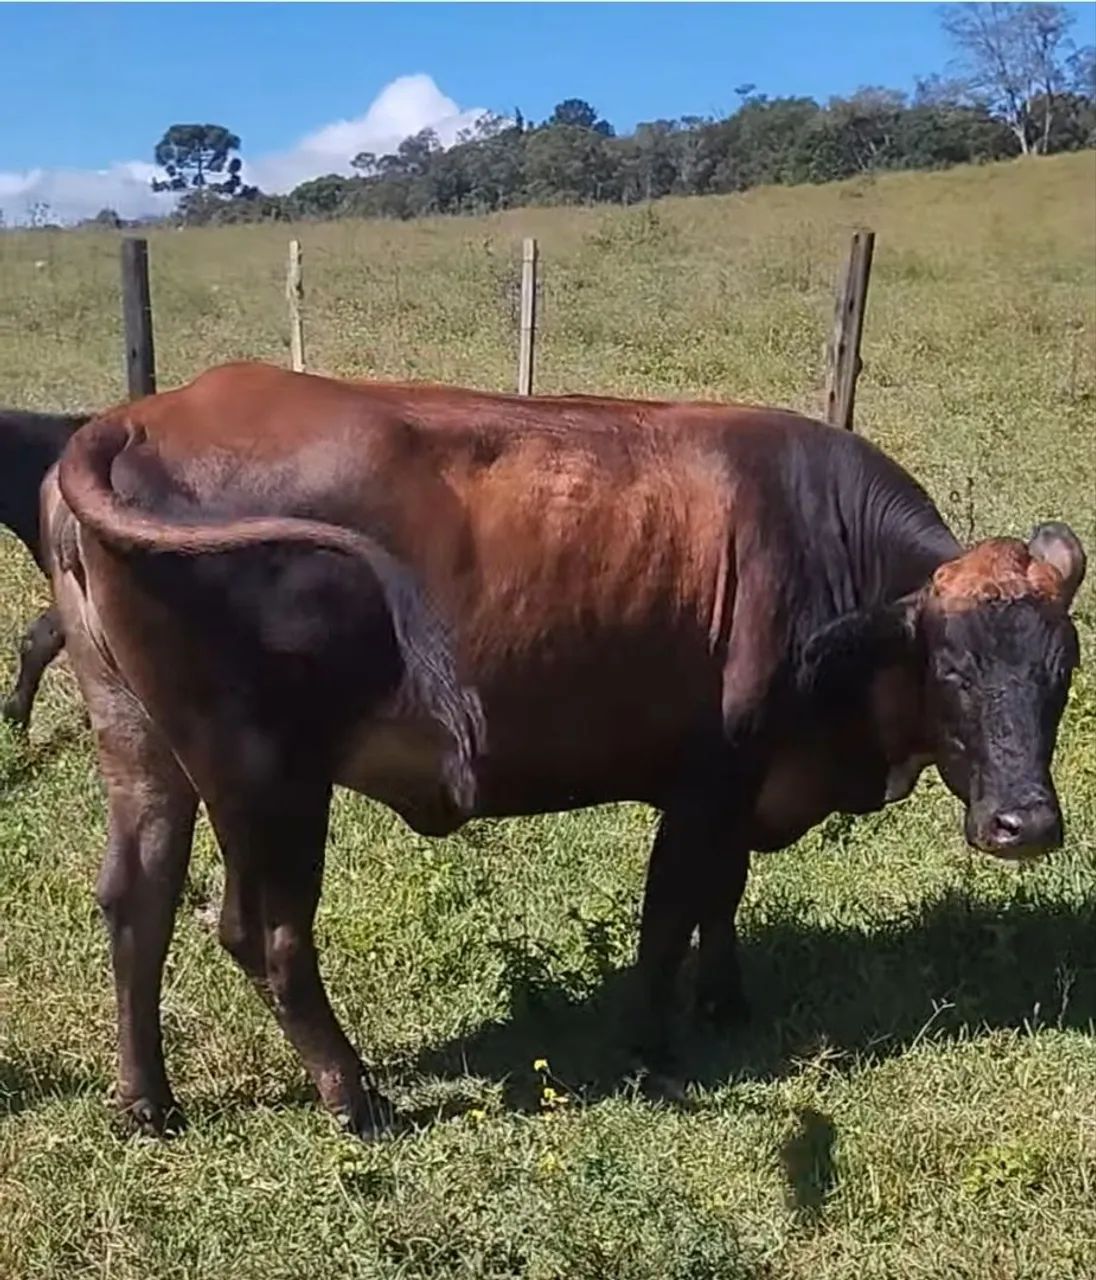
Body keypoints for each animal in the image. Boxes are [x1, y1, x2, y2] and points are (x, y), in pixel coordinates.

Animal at [44, 361, 1085, 1137]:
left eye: (1061, 672)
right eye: (950, 668)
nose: (1025, 823)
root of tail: (138, 420)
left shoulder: (740, 784)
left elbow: (721, 896)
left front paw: (726, 1001)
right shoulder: (708, 777)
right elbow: (671, 910)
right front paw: (650, 1042)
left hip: (144, 750)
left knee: (136, 903)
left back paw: (148, 1102)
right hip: (268, 778)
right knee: (264, 935)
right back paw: (355, 1095)